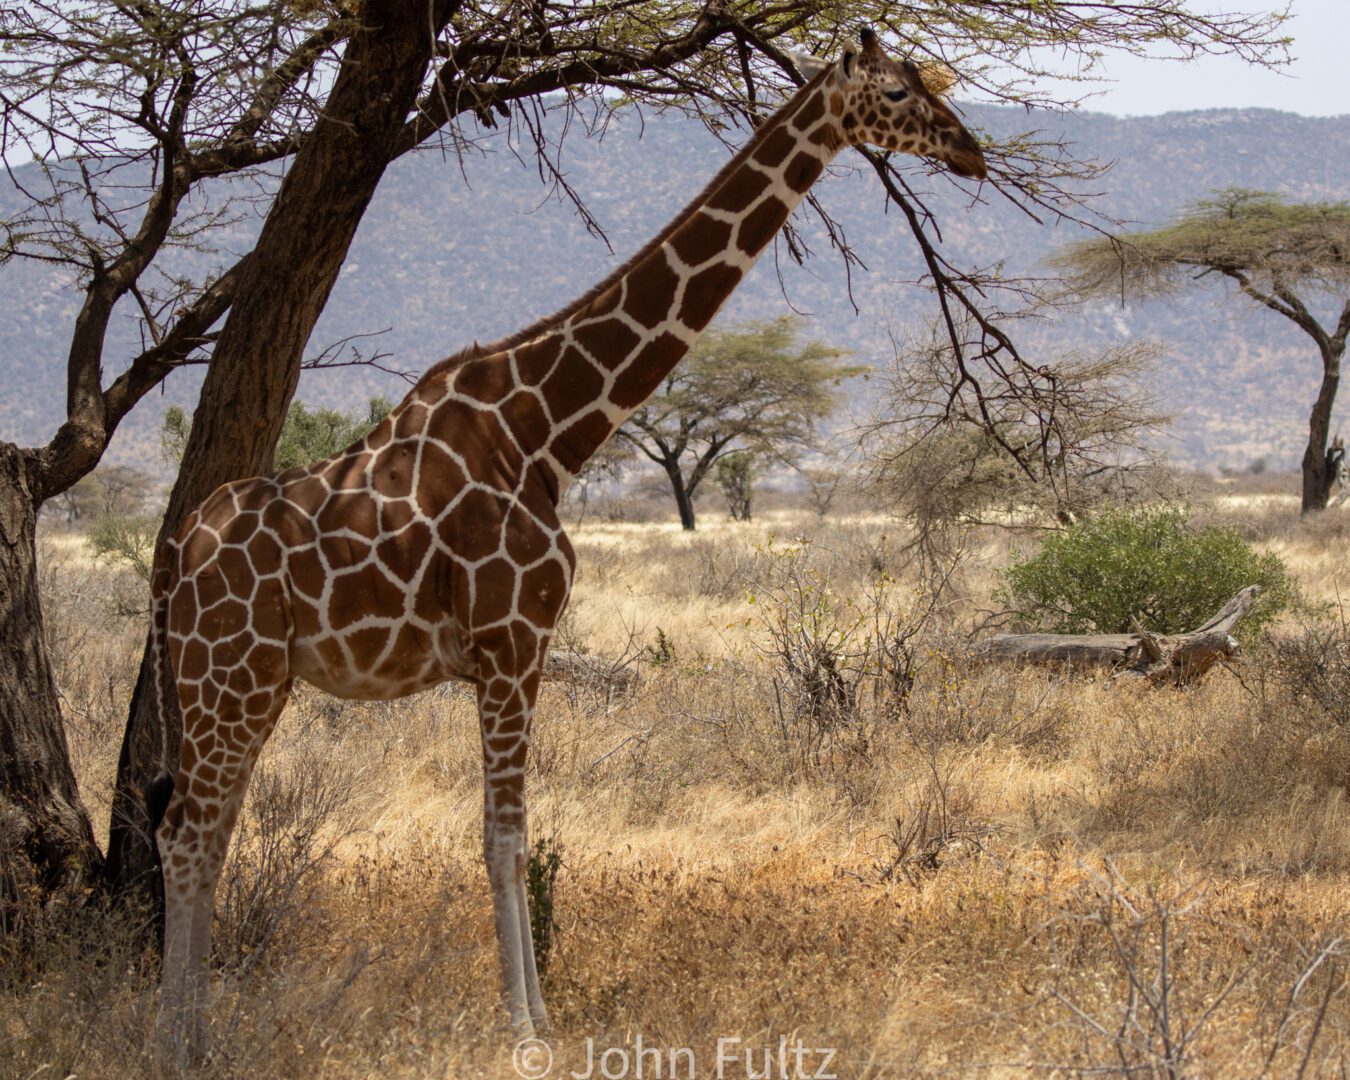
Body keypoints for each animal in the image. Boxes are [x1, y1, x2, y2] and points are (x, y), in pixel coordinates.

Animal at [150, 29, 993, 1053]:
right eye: (895, 92)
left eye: (927, 80)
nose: (970, 150)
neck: (547, 429)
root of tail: (173, 558)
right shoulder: (512, 640)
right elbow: (505, 837)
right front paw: (524, 1028)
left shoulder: (521, 648)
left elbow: (515, 830)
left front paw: (538, 1014)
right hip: (225, 676)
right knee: (185, 832)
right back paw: (178, 1037)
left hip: (253, 682)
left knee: (208, 829)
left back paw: (199, 1024)